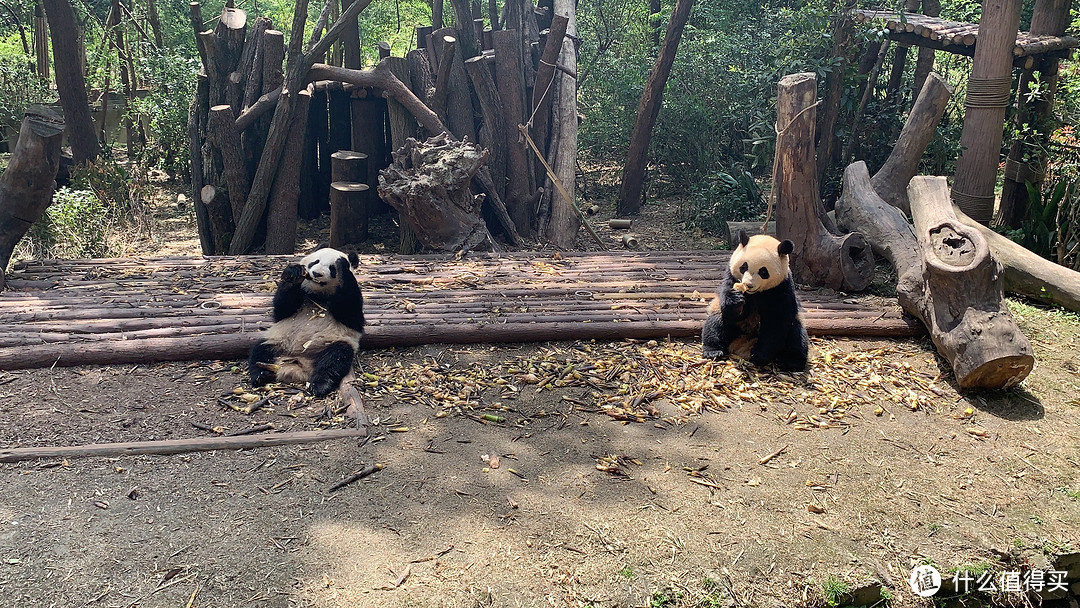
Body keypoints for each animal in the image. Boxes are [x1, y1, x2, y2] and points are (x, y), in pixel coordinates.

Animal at [248, 245, 367, 397]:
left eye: (332, 269)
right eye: (315, 262)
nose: (316, 273)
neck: (317, 295)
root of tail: (297, 363)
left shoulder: (352, 310)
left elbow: (351, 314)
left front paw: (343, 267)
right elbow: (282, 310)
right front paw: (293, 274)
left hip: (330, 343)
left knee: (335, 358)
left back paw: (320, 384)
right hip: (278, 340)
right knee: (260, 351)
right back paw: (261, 374)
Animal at [704, 228, 807, 371]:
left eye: (763, 271)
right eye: (744, 267)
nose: (748, 285)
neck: (755, 293)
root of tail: (742, 343)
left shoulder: (782, 287)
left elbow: (775, 321)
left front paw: (759, 355)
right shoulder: (730, 277)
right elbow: (730, 307)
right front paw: (736, 299)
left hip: (793, 327)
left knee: (796, 336)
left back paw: (791, 361)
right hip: (726, 324)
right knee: (715, 324)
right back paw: (713, 350)